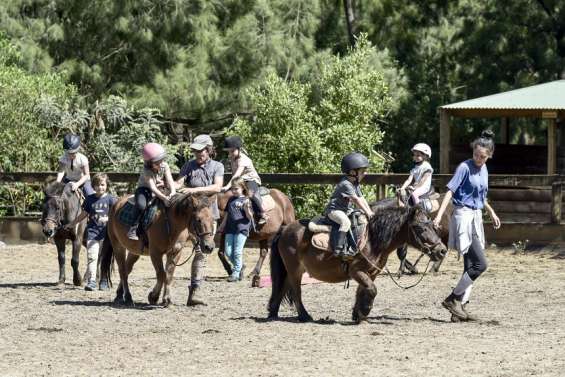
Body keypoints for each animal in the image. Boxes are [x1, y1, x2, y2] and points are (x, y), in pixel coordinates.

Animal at [266, 206, 448, 324]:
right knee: (296, 292)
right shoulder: (356, 271)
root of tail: (285, 229)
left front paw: (358, 314)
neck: (373, 239)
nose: (442, 251)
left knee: (282, 287)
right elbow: (372, 290)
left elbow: (363, 290)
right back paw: (304, 316)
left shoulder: (370, 273)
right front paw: (365, 310)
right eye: (419, 228)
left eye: (432, 226)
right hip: (295, 270)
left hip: (290, 270)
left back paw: (273, 313)